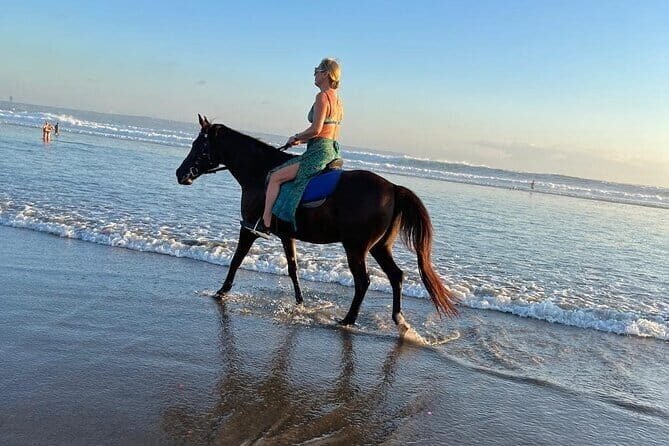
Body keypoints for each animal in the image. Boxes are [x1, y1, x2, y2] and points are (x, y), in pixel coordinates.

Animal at [176, 115, 457, 329]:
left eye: (198, 145)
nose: (180, 174)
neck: (259, 172)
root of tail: (393, 188)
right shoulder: (286, 235)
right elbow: (293, 269)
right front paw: (300, 304)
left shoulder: (249, 228)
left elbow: (236, 260)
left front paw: (221, 292)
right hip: (379, 247)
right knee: (396, 276)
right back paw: (398, 319)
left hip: (356, 247)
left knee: (363, 281)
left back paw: (348, 320)